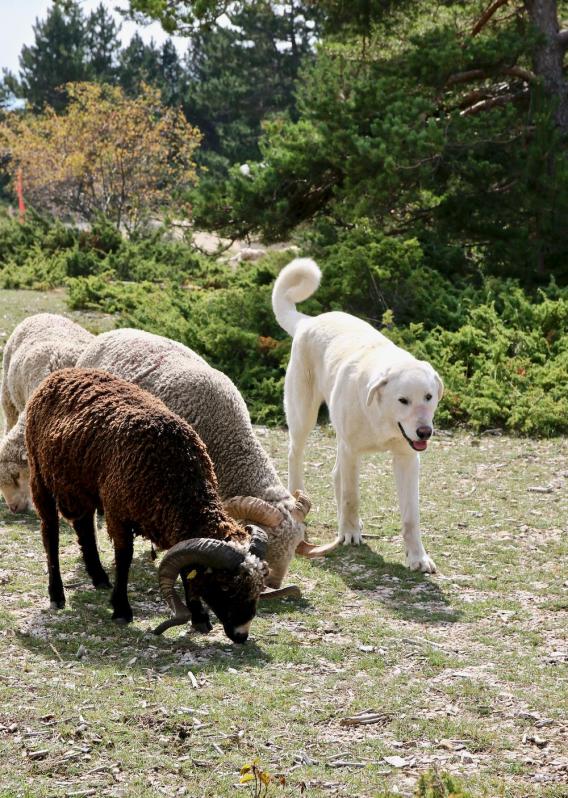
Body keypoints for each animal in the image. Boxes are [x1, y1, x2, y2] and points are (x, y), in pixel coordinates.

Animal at [26, 368, 272, 644]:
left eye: (259, 585)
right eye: (226, 586)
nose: (241, 635)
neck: (177, 477)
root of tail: (62, 373)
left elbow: (185, 569)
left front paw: (199, 617)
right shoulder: (117, 512)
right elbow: (124, 559)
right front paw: (121, 610)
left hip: (83, 485)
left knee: (84, 526)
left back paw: (99, 578)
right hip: (40, 476)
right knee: (50, 534)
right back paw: (57, 595)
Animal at [274, 260, 444, 572]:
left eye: (428, 397)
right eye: (403, 400)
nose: (425, 432)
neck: (383, 416)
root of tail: (307, 321)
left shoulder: (407, 459)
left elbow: (410, 518)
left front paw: (417, 557)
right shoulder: (352, 451)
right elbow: (352, 497)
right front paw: (350, 534)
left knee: (336, 475)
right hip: (303, 417)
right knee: (296, 456)